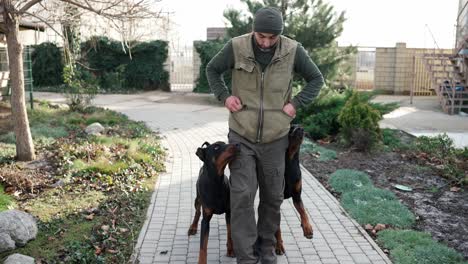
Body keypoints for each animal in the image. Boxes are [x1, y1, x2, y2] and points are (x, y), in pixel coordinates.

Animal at [274, 125, 314, 255]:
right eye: (291, 128)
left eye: (301, 127)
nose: (300, 129)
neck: (290, 161)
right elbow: (277, 228)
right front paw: (279, 246)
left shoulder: (297, 195)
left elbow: (303, 212)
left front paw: (308, 228)